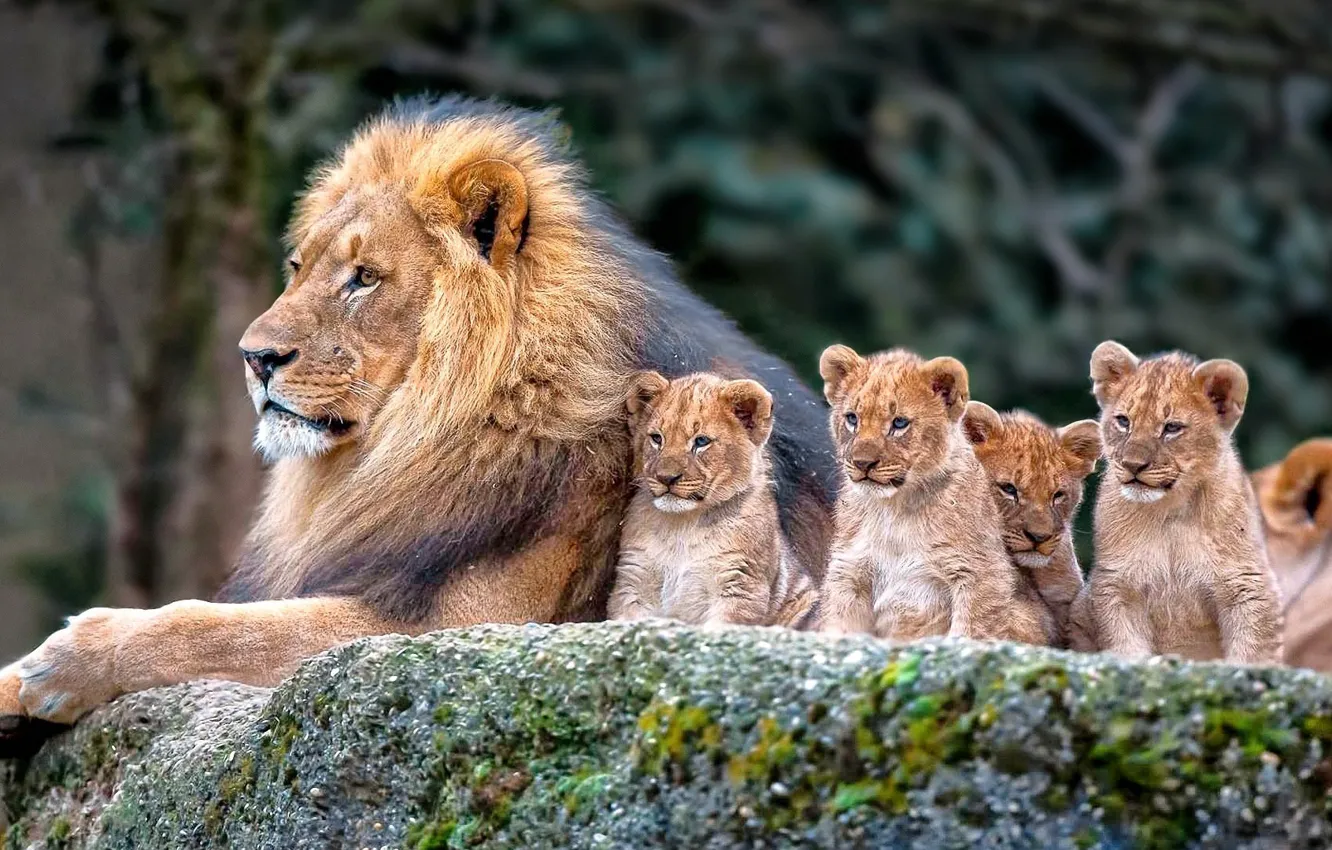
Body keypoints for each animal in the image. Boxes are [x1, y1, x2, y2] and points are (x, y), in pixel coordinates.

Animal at [608, 371, 818, 627]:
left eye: (701, 442)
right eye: (657, 438)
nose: (666, 478)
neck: (682, 526)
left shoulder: (740, 586)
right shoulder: (634, 581)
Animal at [815, 345, 1048, 644]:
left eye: (899, 423)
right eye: (852, 419)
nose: (863, 463)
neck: (894, 511)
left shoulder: (981, 574)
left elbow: (971, 631)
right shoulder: (849, 573)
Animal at [1074, 341, 1282, 664]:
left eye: (1171, 428)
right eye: (1123, 421)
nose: (1133, 465)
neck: (1170, 510)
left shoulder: (1247, 584)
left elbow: (1251, 652)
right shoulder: (1118, 584)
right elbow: (1126, 646)